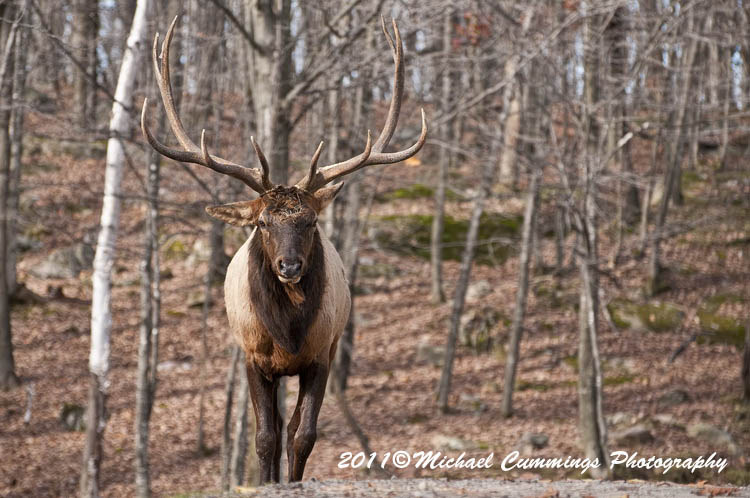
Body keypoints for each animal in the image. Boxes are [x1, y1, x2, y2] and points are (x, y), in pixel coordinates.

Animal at [141, 16, 426, 483]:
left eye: (311, 221)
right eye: (262, 222)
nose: (289, 265)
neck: (287, 332)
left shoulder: (321, 355)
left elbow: (302, 435)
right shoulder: (252, 357)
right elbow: (264, 437)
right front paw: (265, 481)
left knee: (290, 426)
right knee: (272, 427)